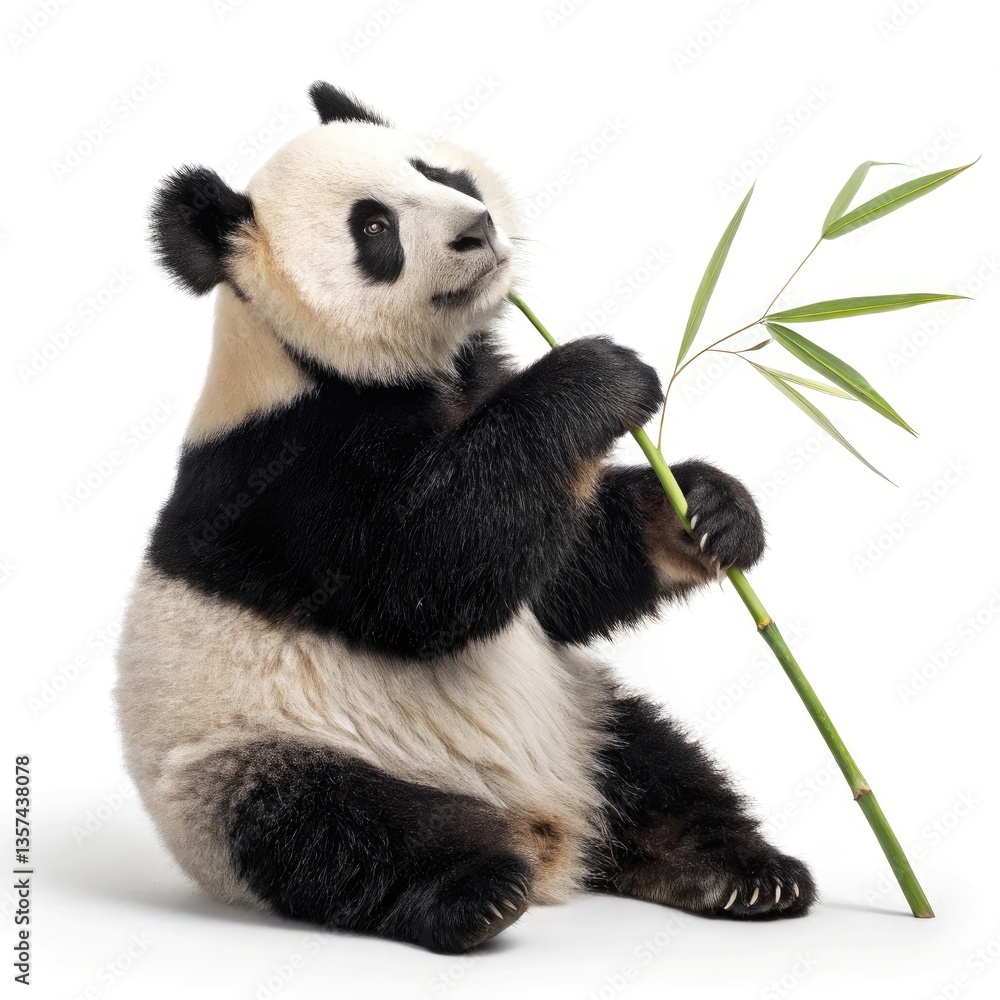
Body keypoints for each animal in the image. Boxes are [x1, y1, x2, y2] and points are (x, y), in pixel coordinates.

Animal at [115, 82, 816, 954]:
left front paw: (709, 511)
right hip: (243, 762)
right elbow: (427, 571)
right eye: (374, 227)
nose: (476, 227)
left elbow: (559, 575)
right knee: (331, 830)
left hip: (581, 709)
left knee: (660, 765)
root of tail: (548, 830)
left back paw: (739, 871)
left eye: (437, 171)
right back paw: (476, 889)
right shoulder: (283, 476)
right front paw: (600, 374)